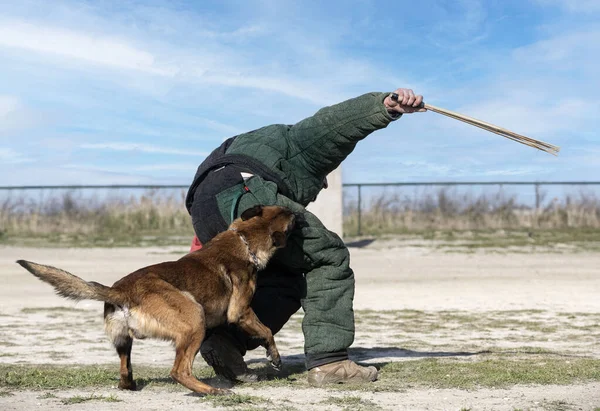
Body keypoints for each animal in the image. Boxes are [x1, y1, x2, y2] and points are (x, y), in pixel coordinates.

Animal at [18, 206, 298, 396]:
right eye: (289, 217)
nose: (297, 211)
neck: (244, 238)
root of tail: (121, 291)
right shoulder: (240, 311)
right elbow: (266, 330)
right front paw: (274, 356)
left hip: (124, 341)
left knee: (125, 370)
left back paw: (130, 385)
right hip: (194, 319)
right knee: (179, 371)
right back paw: (210, 390)